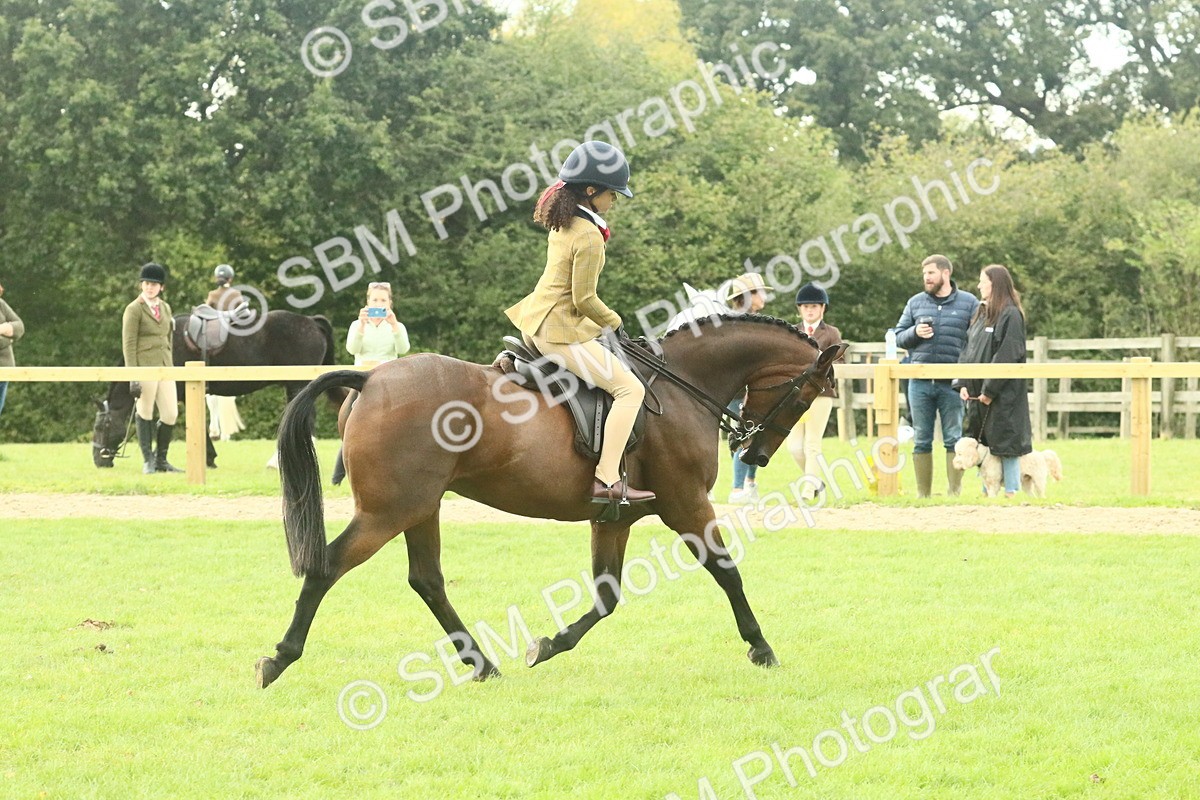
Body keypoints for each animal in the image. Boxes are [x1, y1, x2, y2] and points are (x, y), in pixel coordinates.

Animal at [255, 315, 847, 689]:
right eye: (808, 395)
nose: (756, 451)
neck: (681, 386)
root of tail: (371, 376)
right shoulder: (686, 506)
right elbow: (728, 572)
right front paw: (761, 647)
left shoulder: (615, 516)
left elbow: (606, 596)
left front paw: (548, 644)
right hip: (388, 511)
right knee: (327, 567)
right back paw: (279, 659)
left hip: (421, 507)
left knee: (426, 579)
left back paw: (483, 664)